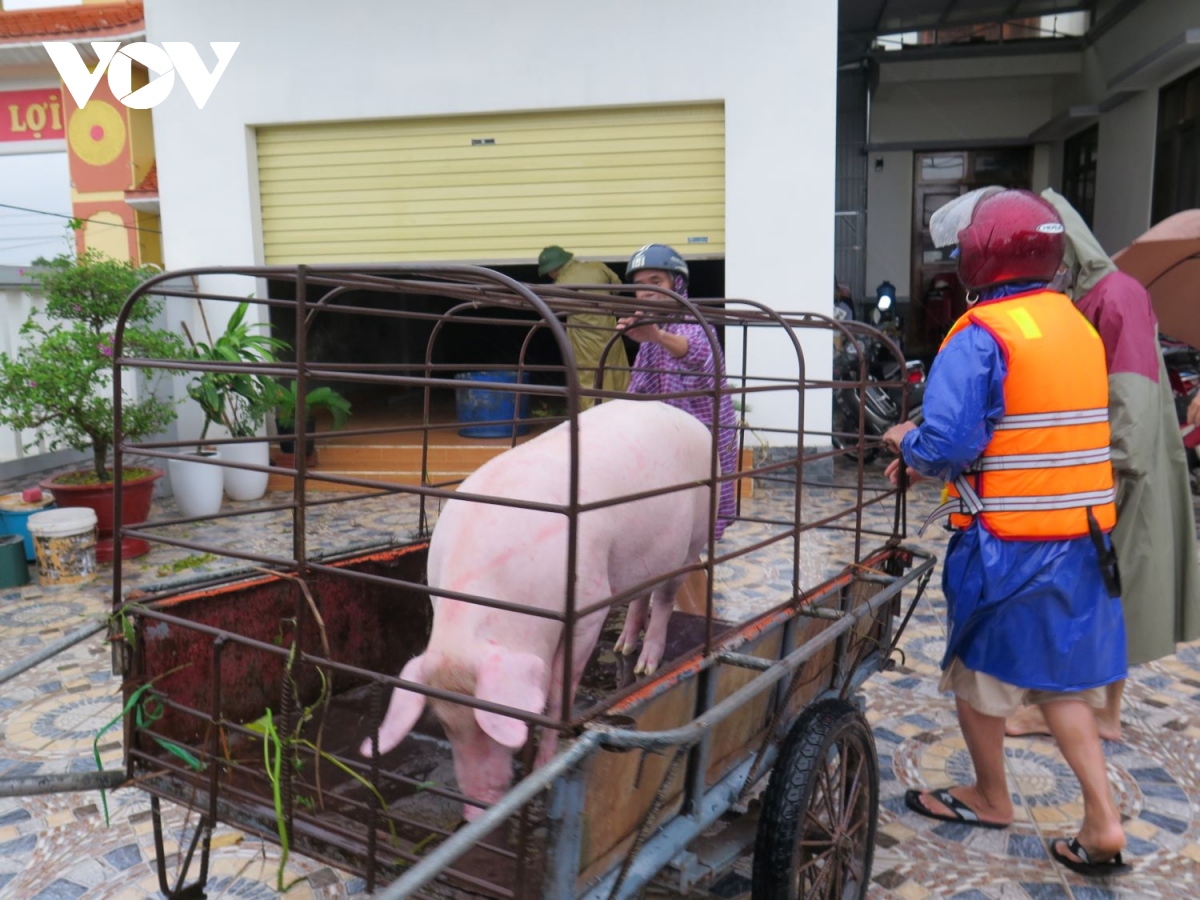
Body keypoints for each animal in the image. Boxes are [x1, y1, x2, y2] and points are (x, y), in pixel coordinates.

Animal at [355, 398, 710, 820]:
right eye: (446, 725)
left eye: (490, 723)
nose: (475, 813)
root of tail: (689, 419)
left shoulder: (589, 600)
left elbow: (557, 693)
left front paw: (545, 774)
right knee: (642, 594)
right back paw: (623, 646)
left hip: (692, 540)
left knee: (666, 598)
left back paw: (645, 667)